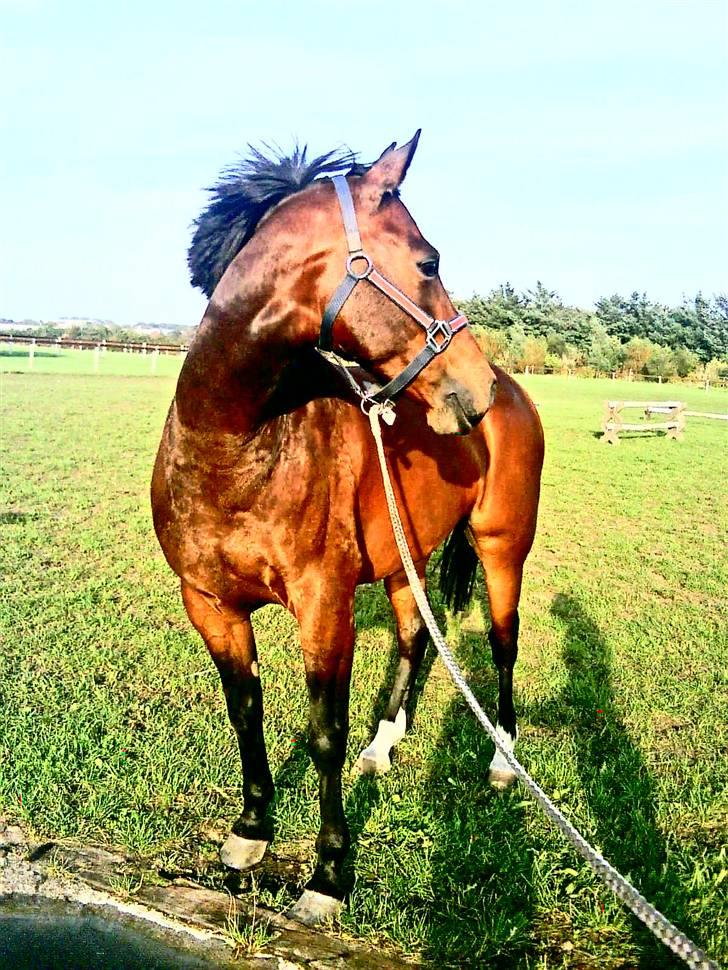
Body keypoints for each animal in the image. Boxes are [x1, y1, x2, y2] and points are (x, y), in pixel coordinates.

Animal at [151, 132, 544, 928]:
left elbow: (323, 735)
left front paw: (328, 877)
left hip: (501, 552)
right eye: (429, 261)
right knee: (415, 638)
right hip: (404, 559)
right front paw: (249, 837)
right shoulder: (209, 603)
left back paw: (500, 761)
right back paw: (384, 746)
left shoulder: (323, 605)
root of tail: (518, 394)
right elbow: (245, 714)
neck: (235, 445)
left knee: (502, 644)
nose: (476, 388)